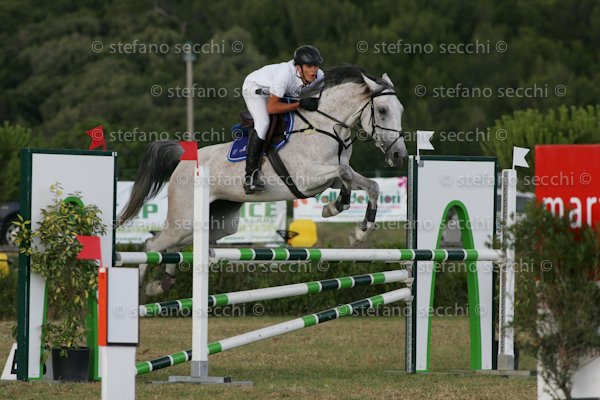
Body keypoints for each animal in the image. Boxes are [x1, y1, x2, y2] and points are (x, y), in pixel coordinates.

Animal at [119, 65, 407, 296]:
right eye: (383, 110)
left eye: (400, 110)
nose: (399, 155)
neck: (327, 127)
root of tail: (183, 159)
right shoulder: (307, 177)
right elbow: (345, 174)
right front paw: (334, 207)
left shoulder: (330, 178)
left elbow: (371, 185)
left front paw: (359, 232)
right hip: (185, 218)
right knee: (153, 244)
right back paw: (142, 288)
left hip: (217, 221)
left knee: (180, 245)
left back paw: (163, 283)